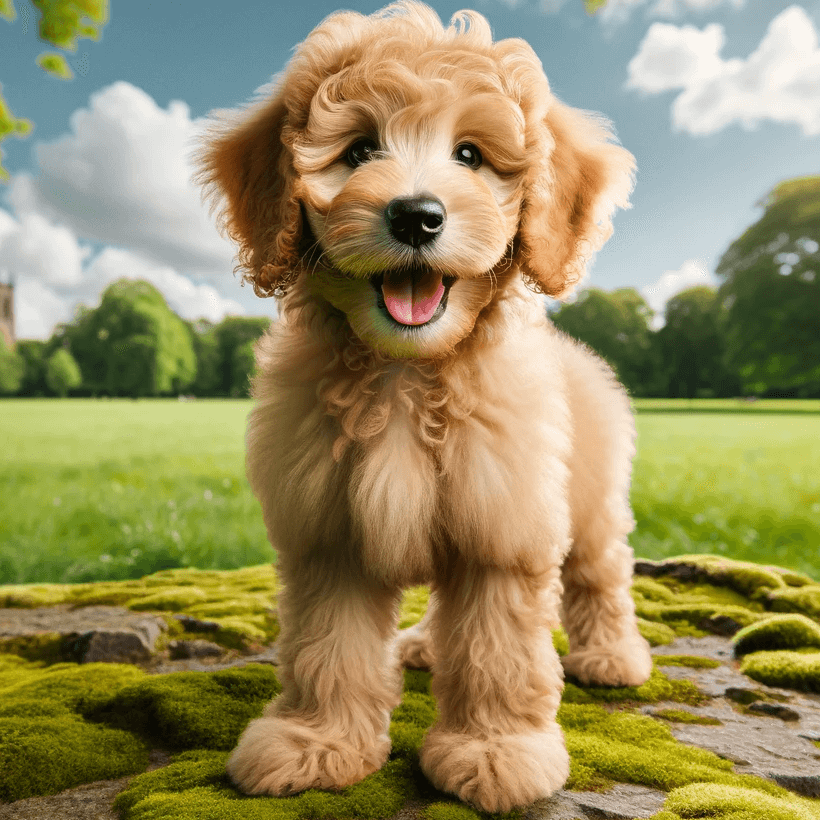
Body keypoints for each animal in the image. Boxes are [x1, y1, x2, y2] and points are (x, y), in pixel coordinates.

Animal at [195, 1, 652, 812]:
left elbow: (500, 651)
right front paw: (317, 742)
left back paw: (611, 654)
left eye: (469, 154)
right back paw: (421, 649)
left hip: (592, 500)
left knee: (601, 573)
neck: (406, 373)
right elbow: (328, 646)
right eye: (358, 149)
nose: (416, 216)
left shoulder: (503, 527)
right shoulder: (330, 532)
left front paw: (496, 751)